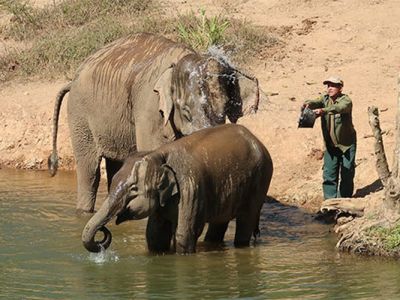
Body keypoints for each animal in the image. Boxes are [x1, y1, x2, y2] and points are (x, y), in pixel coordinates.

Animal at [47, 32, 260, 213]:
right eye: (186, 112)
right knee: (89, 170)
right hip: (80, 113)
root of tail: (72, 80)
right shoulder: (149, 106)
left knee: (115, 167)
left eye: (224, 109)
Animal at [82, 123, 276, 254]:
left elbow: (185, 235)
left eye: (133, 189)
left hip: (260, 180)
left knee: (245, 220)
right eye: (114, 182)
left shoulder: (191, 188)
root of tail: (257, 140)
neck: (158, 154)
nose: (103, 231)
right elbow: (154, 236)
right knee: (219, 223)